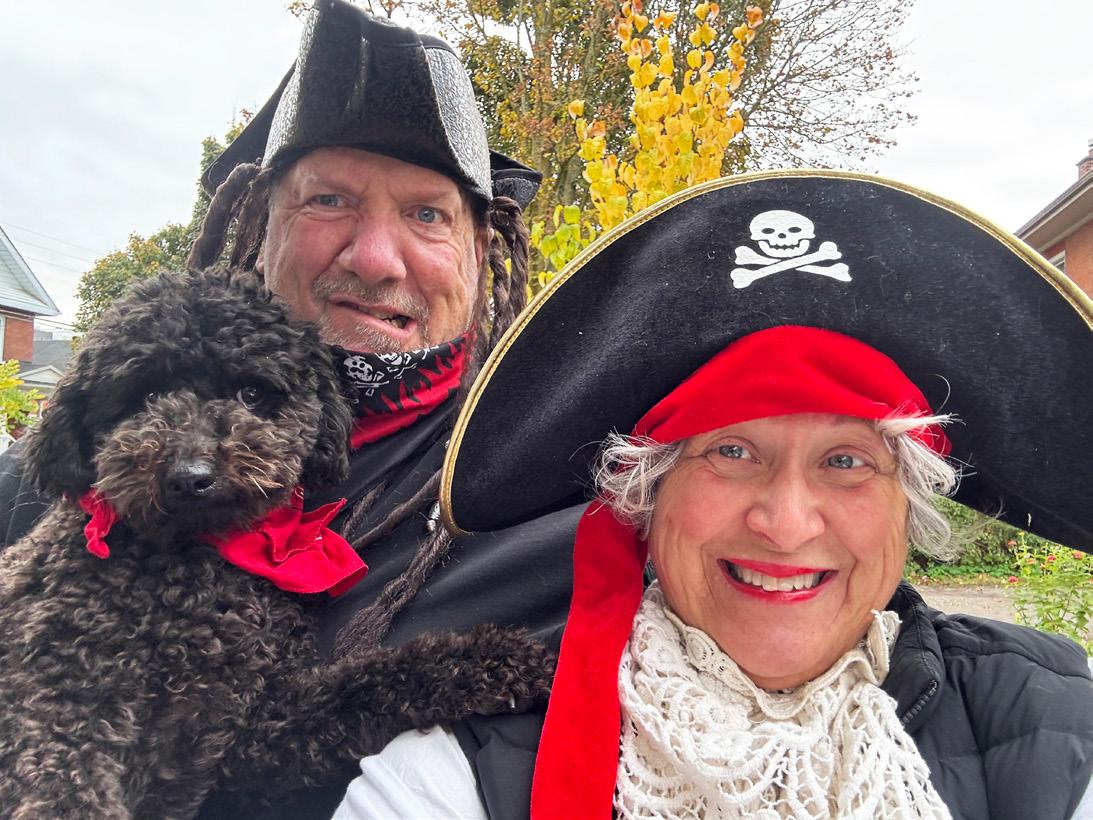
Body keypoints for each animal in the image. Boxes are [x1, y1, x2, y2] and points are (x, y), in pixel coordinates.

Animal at [0, 268, 554, 819]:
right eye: (141, 397)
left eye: (250, 393)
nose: (190, 477)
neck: (203, 572)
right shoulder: (57, 704)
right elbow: (64, 784)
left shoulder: (255, 732)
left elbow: (364, 684)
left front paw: (499, 660)